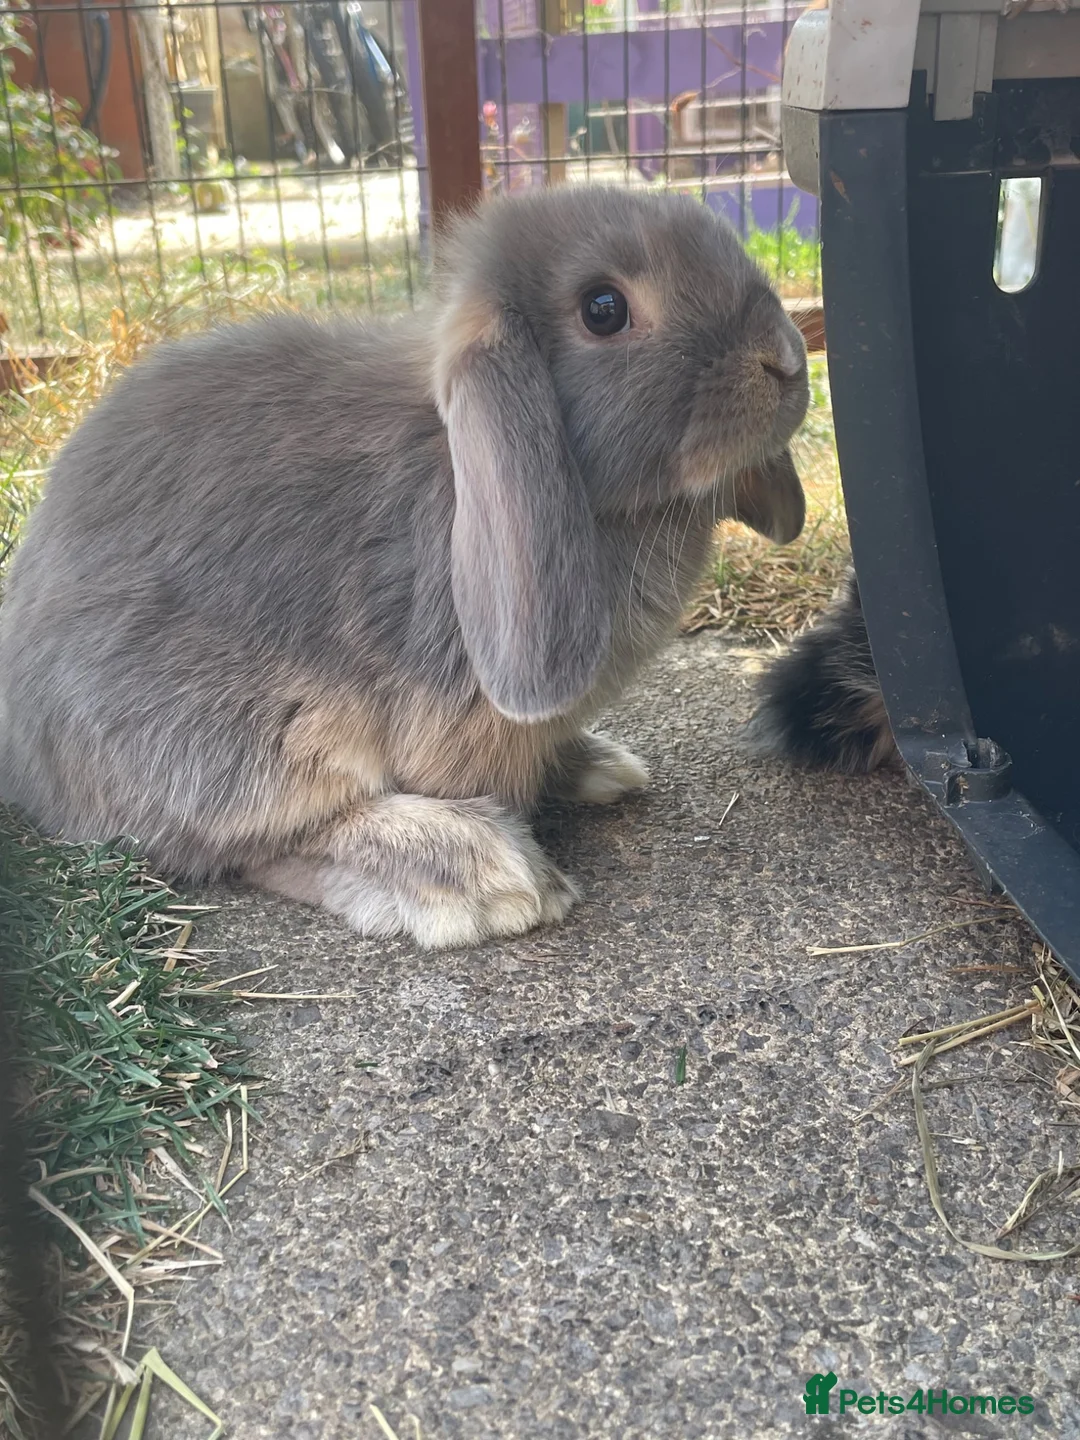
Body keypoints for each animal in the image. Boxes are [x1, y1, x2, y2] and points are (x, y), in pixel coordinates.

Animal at [0, 185, 809, 949]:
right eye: (604, 309)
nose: (788, 361)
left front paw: (586, 766)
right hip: (237, 729)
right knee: (250, 842)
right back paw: (477, 875)